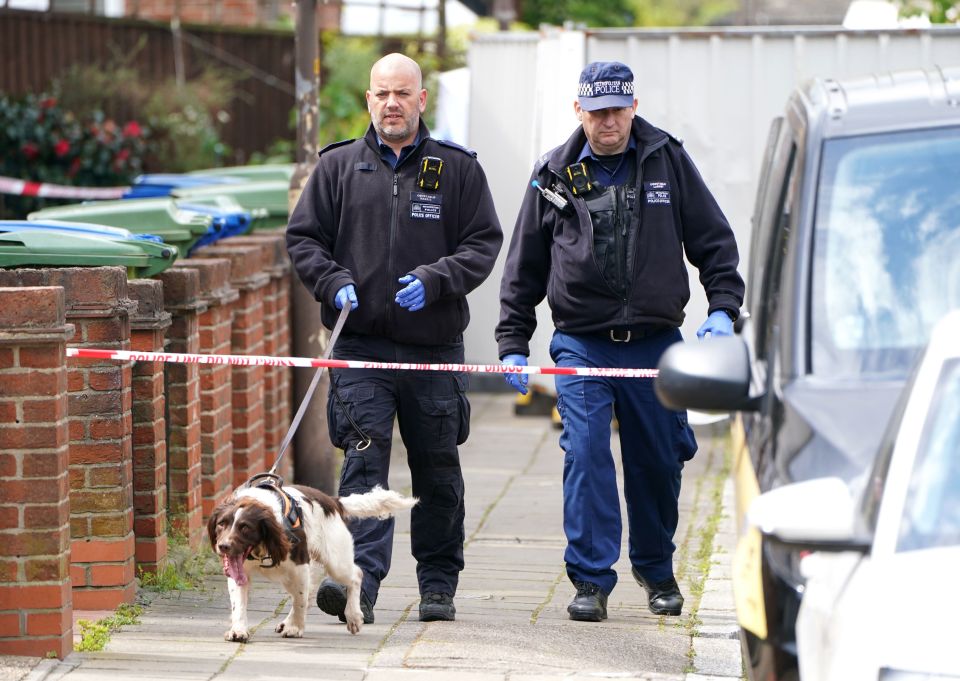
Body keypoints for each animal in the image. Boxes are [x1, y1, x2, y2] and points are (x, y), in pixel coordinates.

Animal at [206, 480, 416, 640]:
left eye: (245, 528)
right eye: (221, 524)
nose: (223, 546)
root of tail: (333, 501)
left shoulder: (299, 566)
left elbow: (300, 599)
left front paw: (296, 628)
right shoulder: (241, 571)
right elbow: (238, 603)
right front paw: (238, 630)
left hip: (335, 562)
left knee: (356, 575)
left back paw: (354, 616)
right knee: (307, 591)